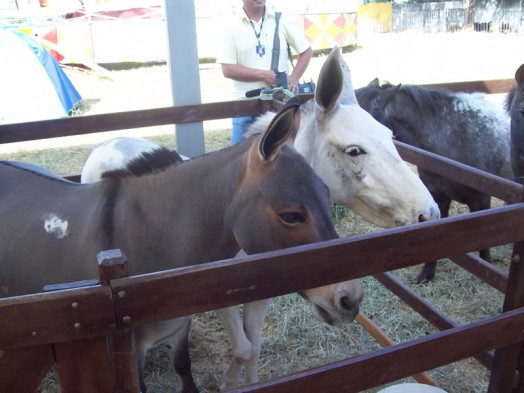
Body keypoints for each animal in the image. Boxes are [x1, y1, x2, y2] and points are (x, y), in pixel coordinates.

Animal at [0, 105, 364, 392]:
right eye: (291, 215)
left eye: (327, 195)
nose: (351, 299)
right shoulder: (128, 350)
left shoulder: (179, 330)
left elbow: (187, 369)